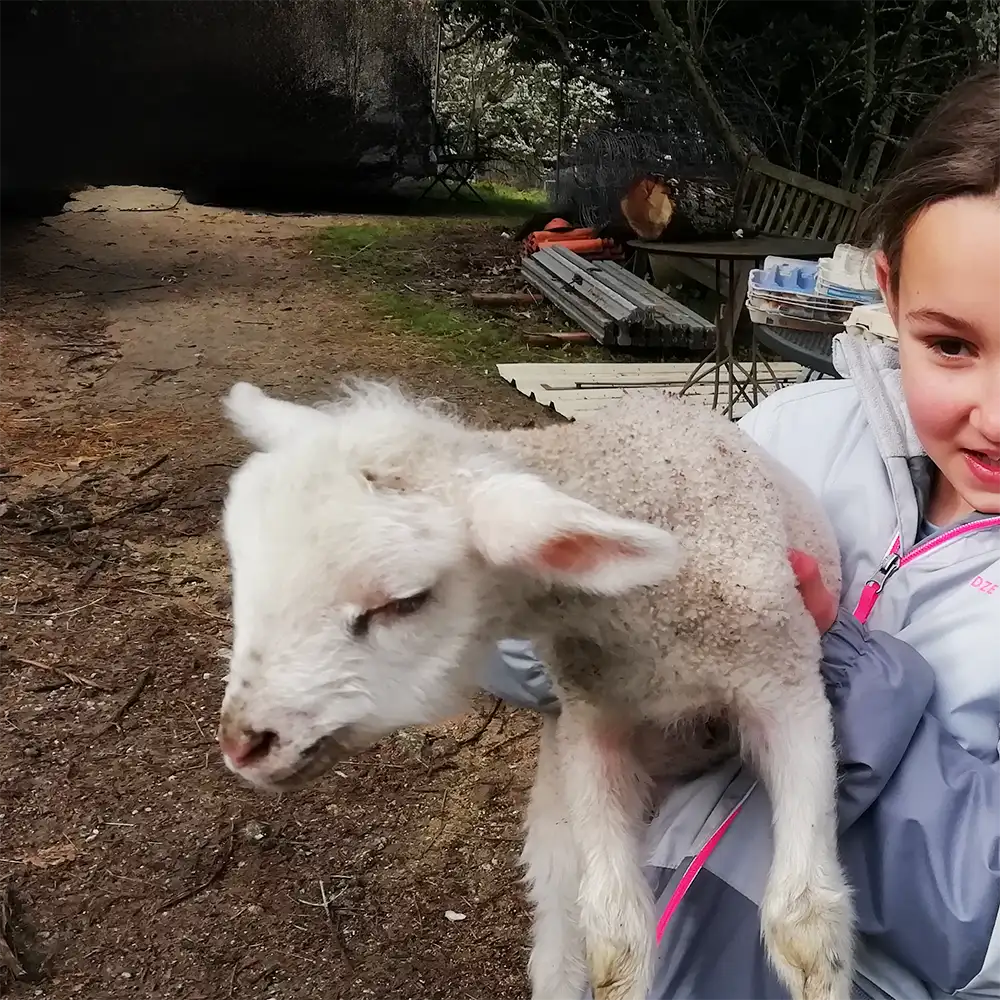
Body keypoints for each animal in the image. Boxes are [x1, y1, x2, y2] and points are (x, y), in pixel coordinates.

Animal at [216, 378, 854, 1000]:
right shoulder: (592, 717)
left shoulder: (786, 684)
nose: (242, 744)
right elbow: (614, 942)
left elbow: (803, 926)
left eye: (404, 602)